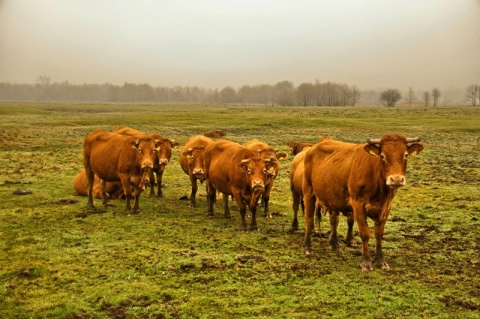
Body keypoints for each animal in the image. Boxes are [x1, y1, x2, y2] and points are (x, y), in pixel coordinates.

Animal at [304, 134, 424, 272]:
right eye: (382, 156)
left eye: (406, 155)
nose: (397, 179)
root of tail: (314, 147)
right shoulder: (358, 205)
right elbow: (365, 233)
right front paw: (366, 262)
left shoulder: (386, 208)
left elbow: (379, 234)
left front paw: (381, 260)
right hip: (309, 191)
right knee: (309, 219)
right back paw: (307, 247)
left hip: (333, 197)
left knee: (333, 220)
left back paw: (335, 245)